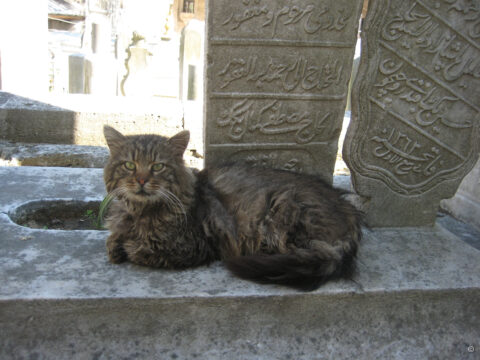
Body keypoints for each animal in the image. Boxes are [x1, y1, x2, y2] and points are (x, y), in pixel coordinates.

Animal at [103, 125, 362, 292]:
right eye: (129, 165)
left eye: (157, 166)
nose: (141, 180)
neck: (140, 211)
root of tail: (350, 213)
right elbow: (114, 238)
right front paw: (116, 243)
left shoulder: (194, 246)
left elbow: (138, 250)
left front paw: (124, 247)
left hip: (283, 211)